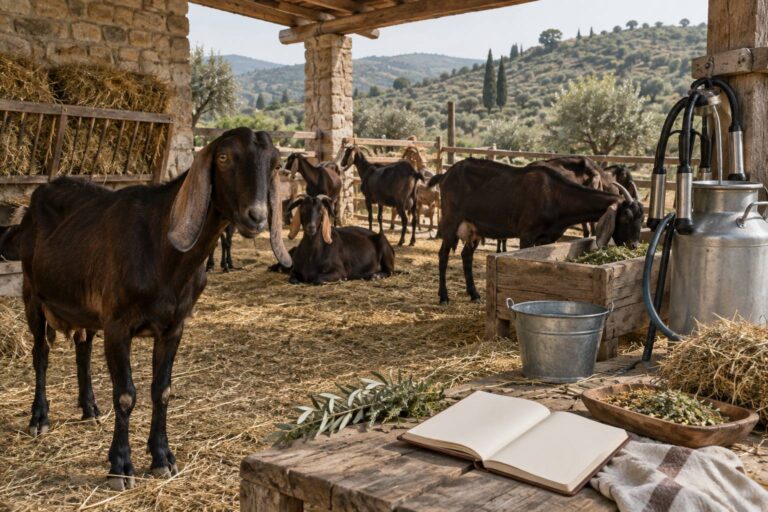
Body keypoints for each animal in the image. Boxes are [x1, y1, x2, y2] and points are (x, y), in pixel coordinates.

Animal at [10, 128, 291, 490]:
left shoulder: (173, 327)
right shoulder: (117, 325)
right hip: (32, 293)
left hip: (84, 305)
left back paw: (89, 408)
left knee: (82, 349)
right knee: (41, 353)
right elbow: (126, 395)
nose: (256, 216)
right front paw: (120, 466)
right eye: (224, 157)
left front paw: (162, 459)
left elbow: (162, 391)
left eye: (276, 163)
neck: (162, 251)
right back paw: (39, 417)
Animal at [429, 158, 643, 304]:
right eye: (626, 217)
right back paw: (444, 296)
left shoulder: (548, 237)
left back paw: (474, 294)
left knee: (466, 255)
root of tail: (445, 175)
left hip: (474, 228)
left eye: (642, 219)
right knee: (443, 255)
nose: (634, 245)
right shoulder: (527, 234)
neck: (555, 195)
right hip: (450, 222)